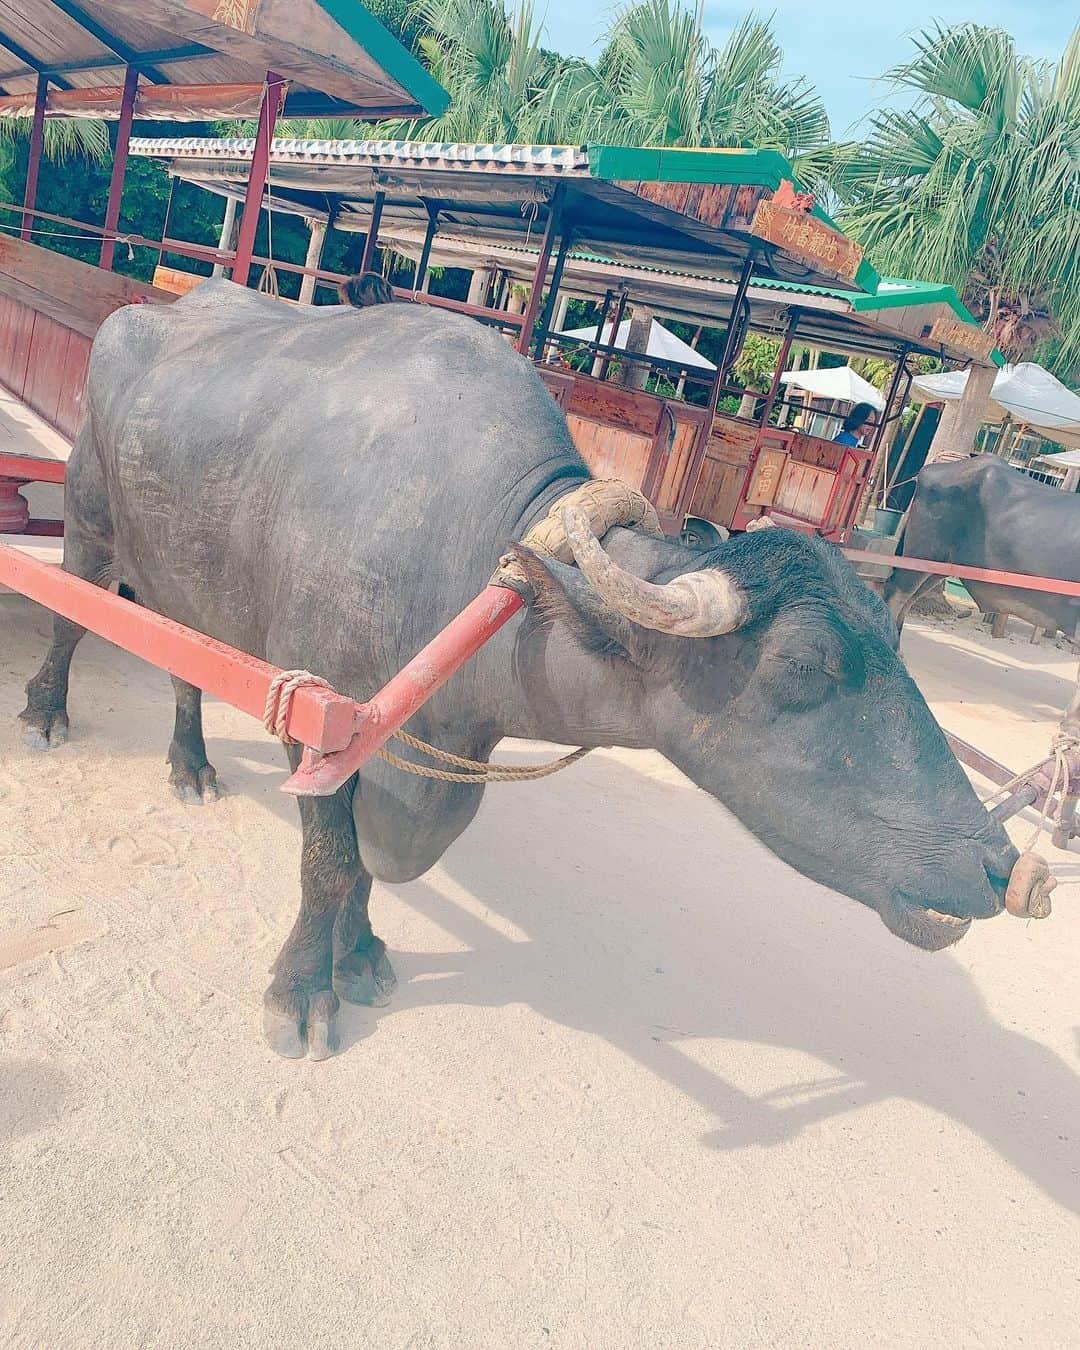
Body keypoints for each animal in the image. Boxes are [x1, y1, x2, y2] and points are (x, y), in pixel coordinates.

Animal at [21, 284, 1026, 1058]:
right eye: (803, 664)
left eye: (890, 639)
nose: (997, 862)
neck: (473, 565)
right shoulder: (326, 733)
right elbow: (329, 865)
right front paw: (302, 991)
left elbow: (367, 873)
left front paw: (362, 954)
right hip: (91, 523)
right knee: (72, 614)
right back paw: (45, 711)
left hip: (185, 579)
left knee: (185, 667)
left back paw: (190, 764)